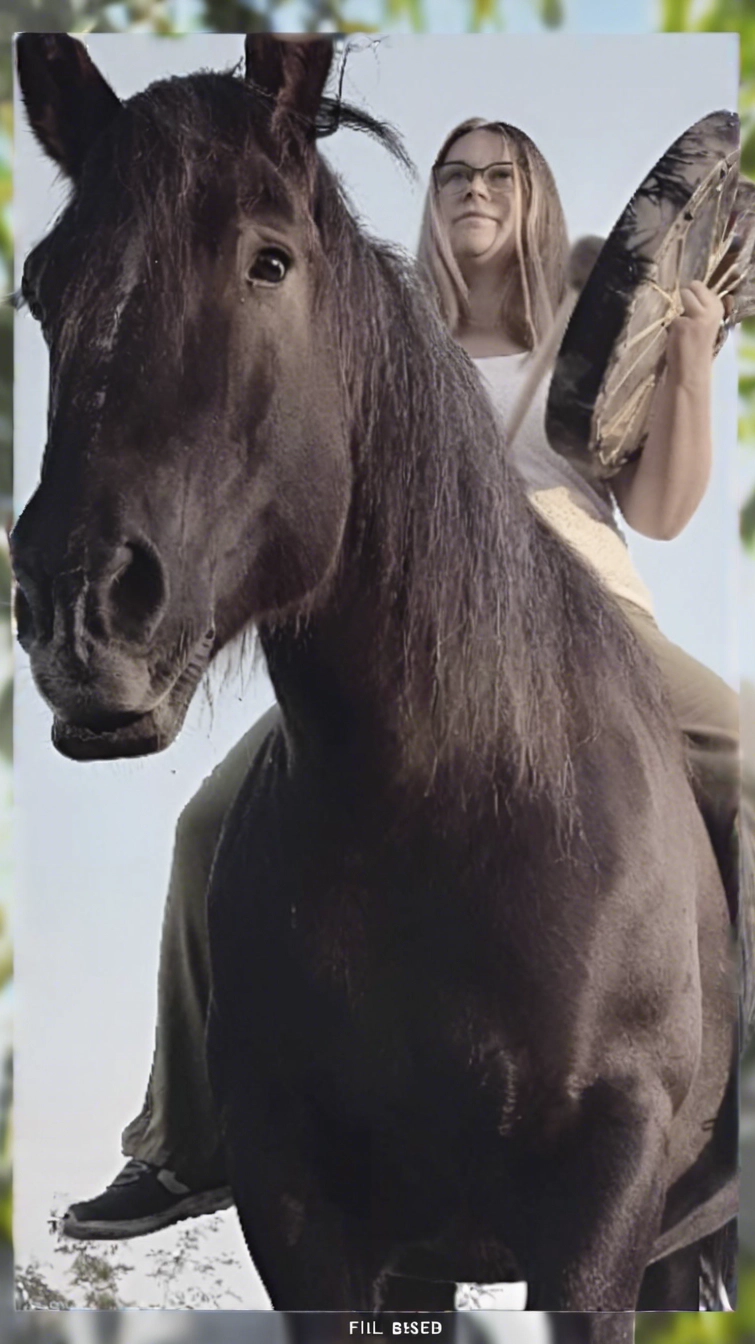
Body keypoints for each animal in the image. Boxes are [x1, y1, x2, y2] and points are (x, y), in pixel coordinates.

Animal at [12, 33, 738, 1339]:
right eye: (42, 288)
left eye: (269, 260)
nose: (77, 607)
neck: (453, 804)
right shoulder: (316, 1226)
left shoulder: (600, 1215)